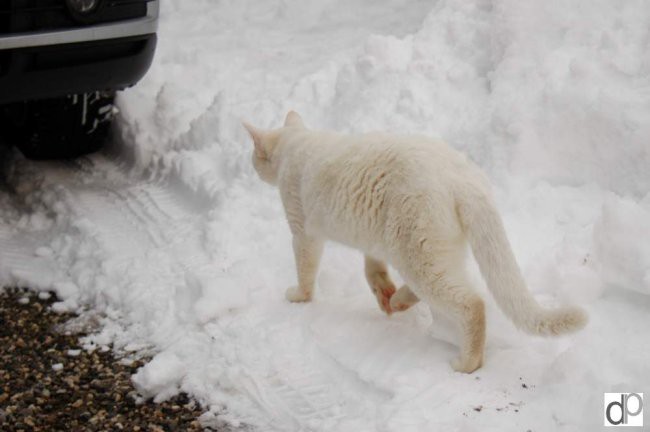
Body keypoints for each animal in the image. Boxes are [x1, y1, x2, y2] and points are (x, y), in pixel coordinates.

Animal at [244, 112, 588, 374]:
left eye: (254, 157)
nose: (252, 165)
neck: (296, 145)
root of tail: (465, 179)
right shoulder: (370, 237)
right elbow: (372, 266)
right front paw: (381, 288)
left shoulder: (303, 229)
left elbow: (305, 267)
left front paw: (298, 296)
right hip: (429, 248)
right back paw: (395, 300)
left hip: (418, 249)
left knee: (471, 302)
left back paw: (467, 362)